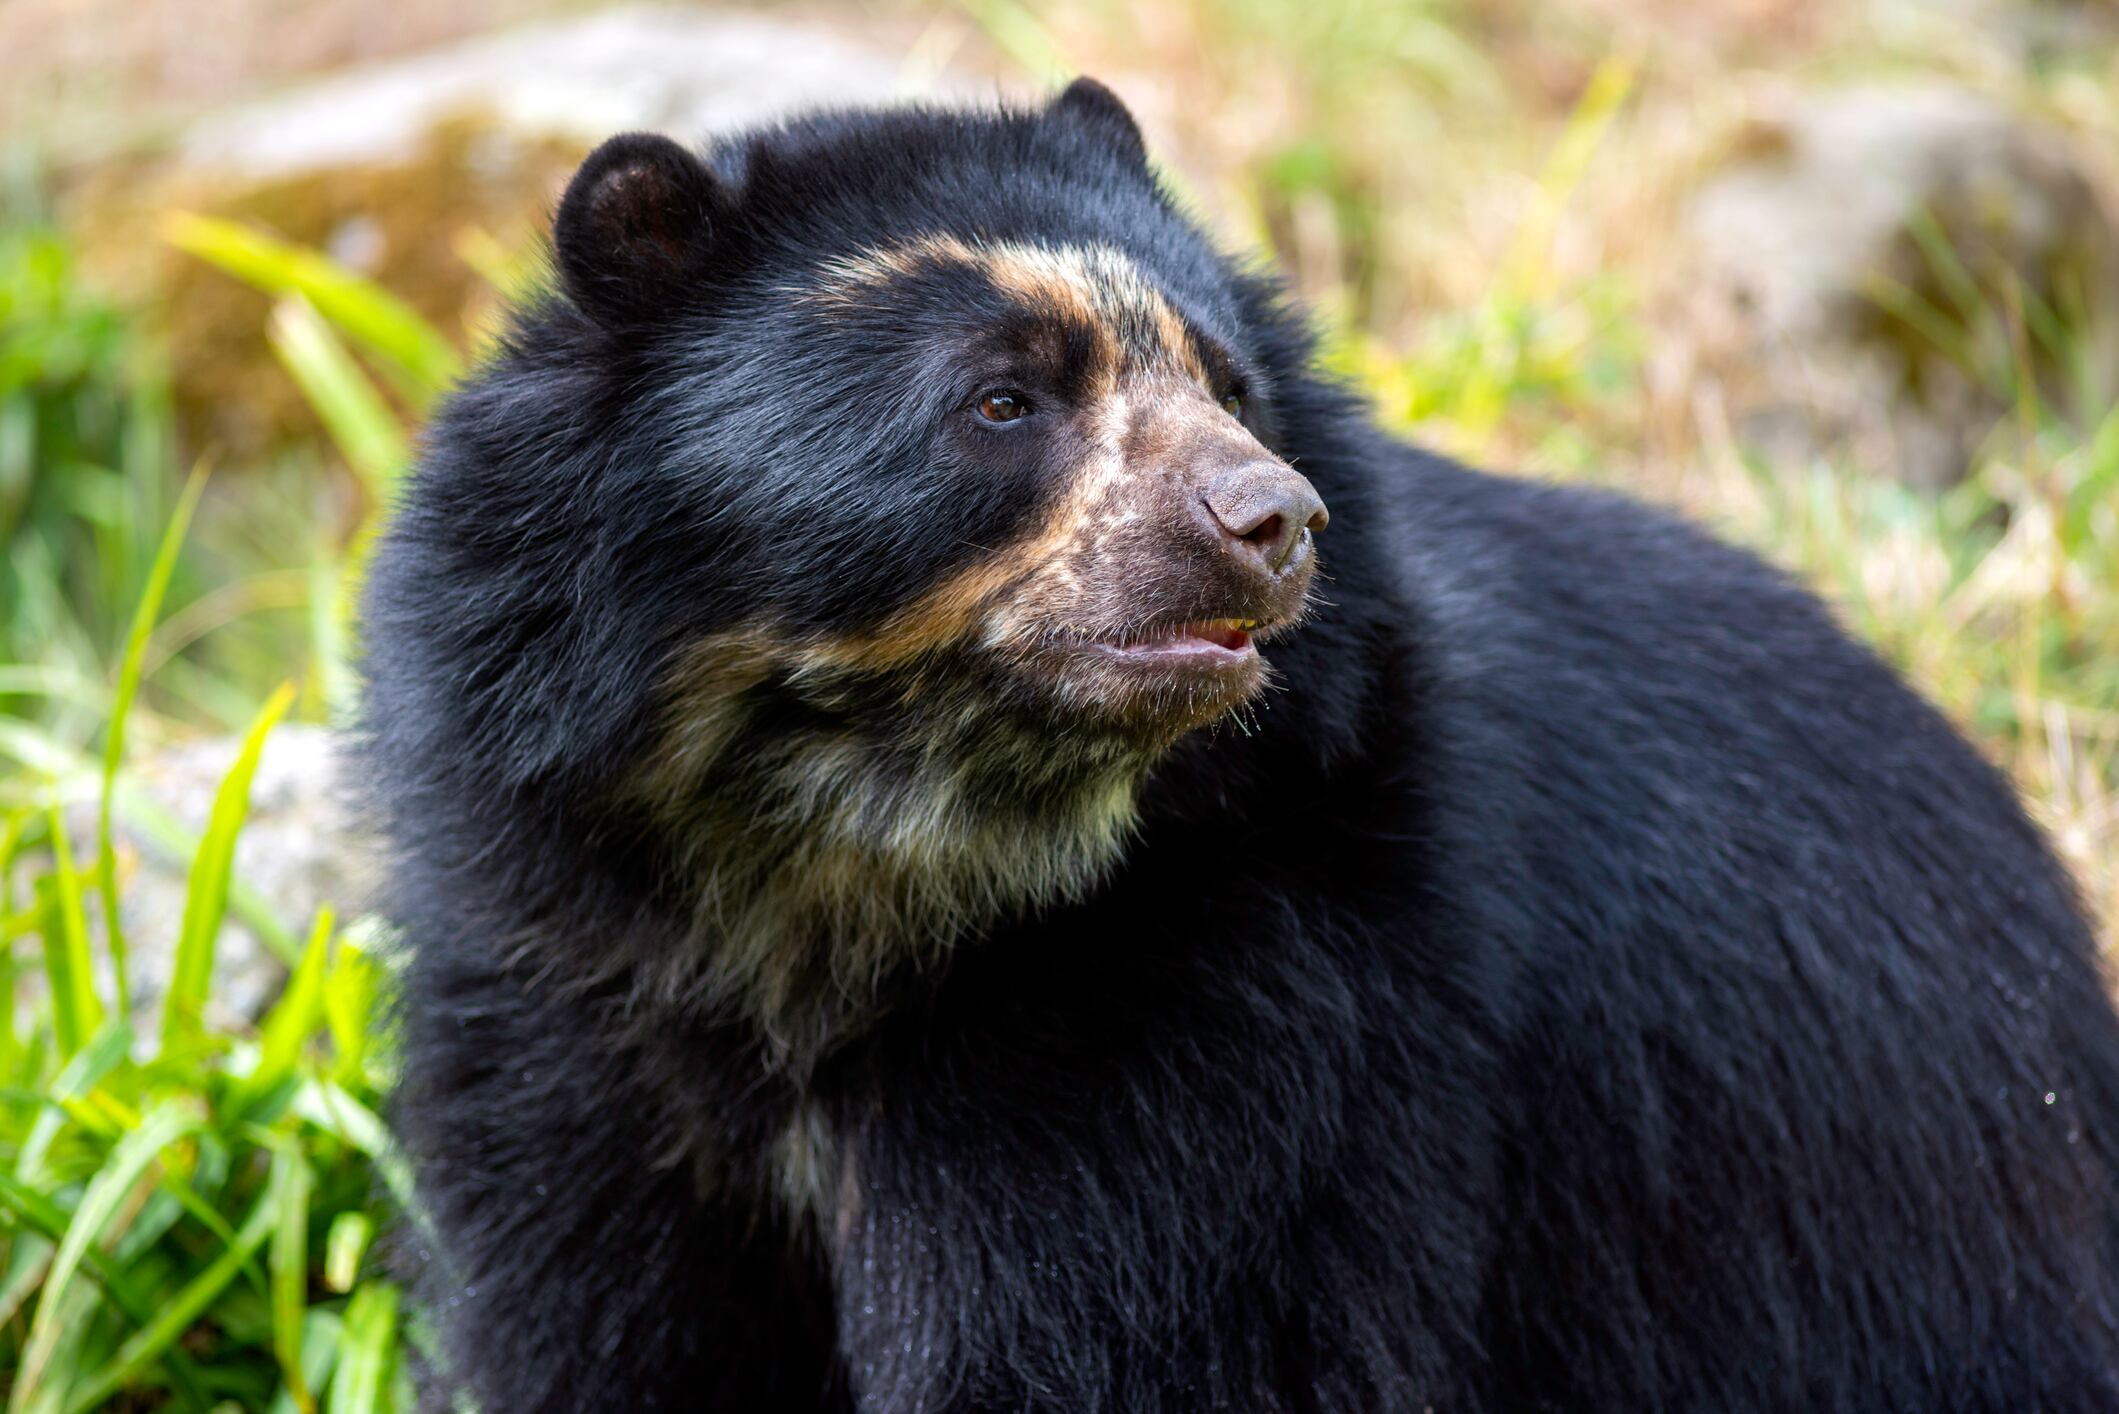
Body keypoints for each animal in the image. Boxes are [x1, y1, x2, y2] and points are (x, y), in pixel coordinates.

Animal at [358, 79, 2119, 1412]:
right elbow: (598, 1321)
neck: (845, 860)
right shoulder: (573, 991)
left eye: (1229, 381)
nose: (1272, 520)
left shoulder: (1211, 989)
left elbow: (1134, 1328)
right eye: (1001, 401)